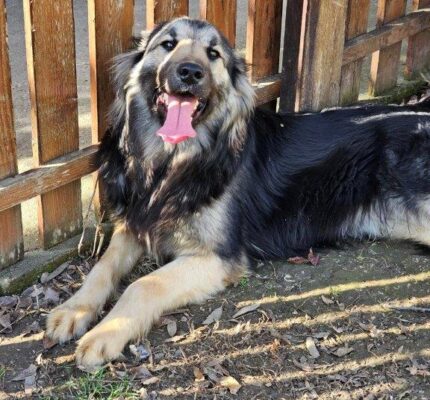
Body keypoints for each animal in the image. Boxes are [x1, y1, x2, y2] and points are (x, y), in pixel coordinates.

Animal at [46, 17, 430, 367]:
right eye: (168, 44)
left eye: (213, 54)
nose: (190, 72)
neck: (172, 164)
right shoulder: (138, 223)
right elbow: (104, 265)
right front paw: (74, 309)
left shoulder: (218, 257)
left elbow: (143, 284)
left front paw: (105, 333)